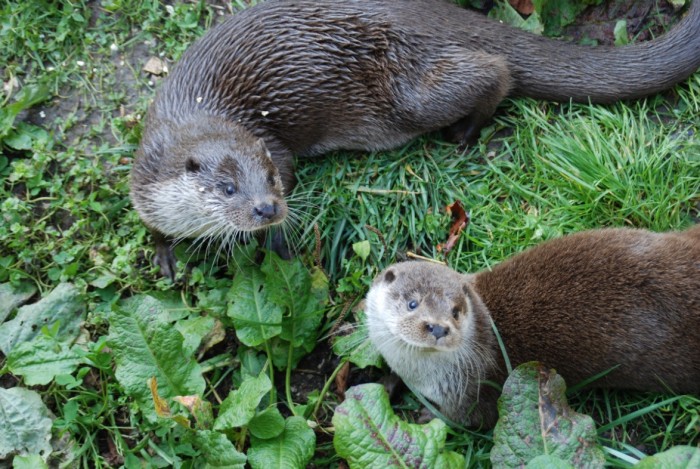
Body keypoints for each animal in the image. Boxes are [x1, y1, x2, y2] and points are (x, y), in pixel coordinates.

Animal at [130, 1, 700, 279]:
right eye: (228, 188)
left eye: (269, 177)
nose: (266, 209)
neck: (197, 116)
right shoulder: (145, 179)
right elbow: (152, 224)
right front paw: (165, 256)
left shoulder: (276, 146)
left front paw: (276, 243)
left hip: (409, 89)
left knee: (496, 70)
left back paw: (465, 132)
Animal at [365, 225, 700, 428]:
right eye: (413, 303)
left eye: (456, 312)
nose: (438, 327)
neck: (421, 376)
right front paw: (387, 383)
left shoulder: (472, 393)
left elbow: (467, 420)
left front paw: (424, 416)